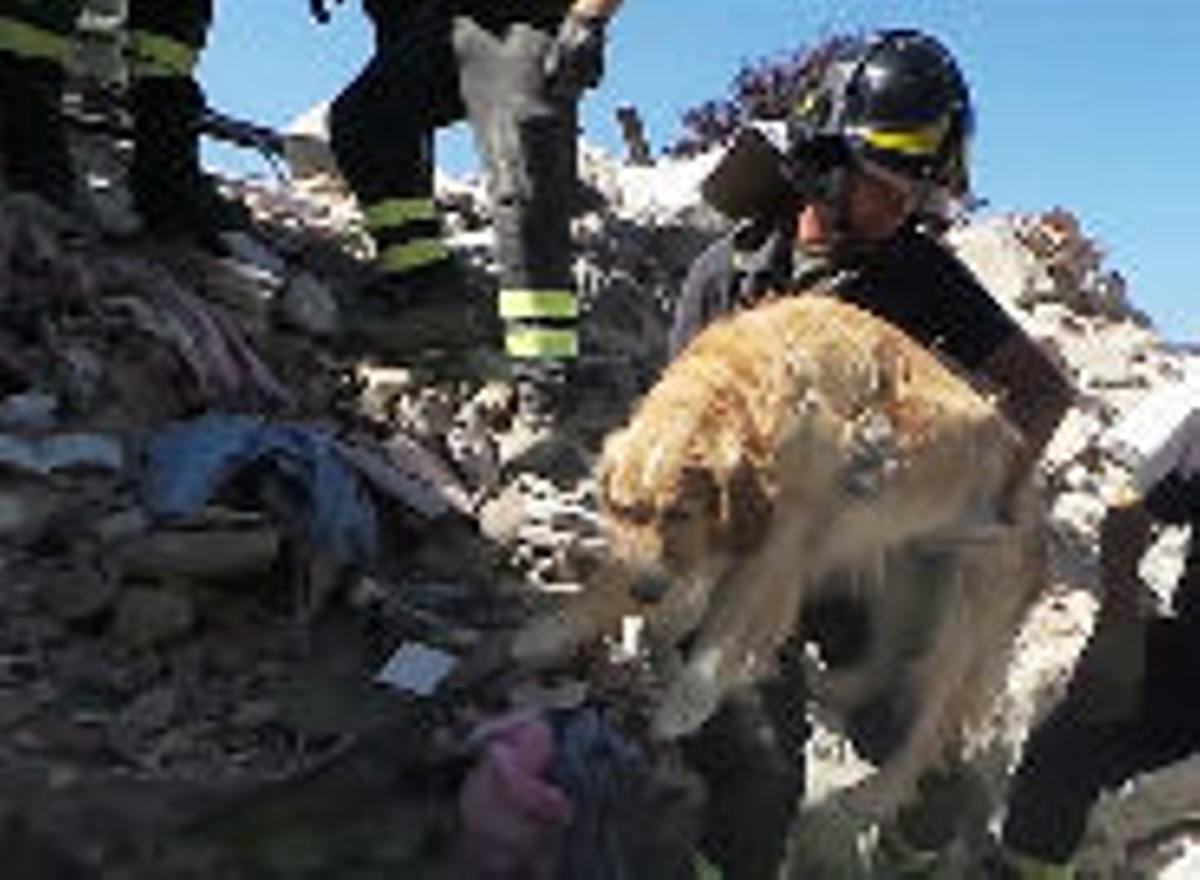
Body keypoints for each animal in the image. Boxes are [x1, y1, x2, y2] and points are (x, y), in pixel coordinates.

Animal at [511, 292, 1046, 816]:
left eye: (680, 513)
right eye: (622, 509)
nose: (646, 591)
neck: (748, 392)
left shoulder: (778, 544)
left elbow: (726, 630)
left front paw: (689, 700)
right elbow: (621, 589)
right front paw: (551, 631)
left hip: (963, 620)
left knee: (932, 721)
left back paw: (877, 794)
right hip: (900, 572)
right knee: (888, 655)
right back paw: (831, 686)